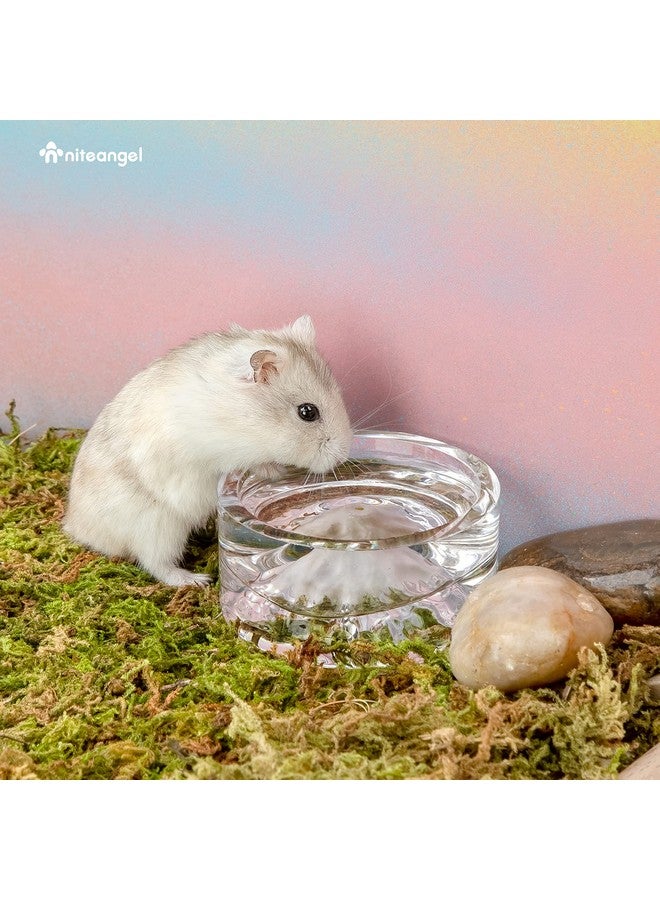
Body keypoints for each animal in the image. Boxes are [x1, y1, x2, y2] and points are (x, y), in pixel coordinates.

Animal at [62, 315, 353, 587]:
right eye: (307, 412)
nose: (343, 456)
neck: (239, 414)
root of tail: (76, 527)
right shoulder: (212, 454)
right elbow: (248, 464)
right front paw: (276, 471)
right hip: (157, 527)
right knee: (156, 564)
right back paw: (196, 580)